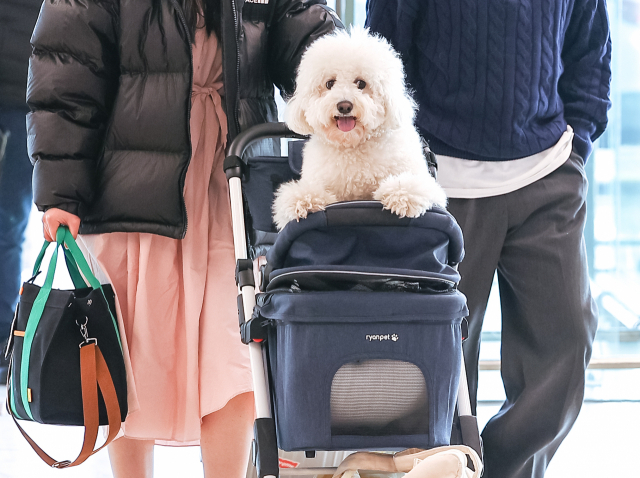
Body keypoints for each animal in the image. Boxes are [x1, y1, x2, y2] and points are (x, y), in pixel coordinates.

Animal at [272, 27, 448, 231]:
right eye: (329, 83)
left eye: (361, 83)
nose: (344, 106)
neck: (354, 146)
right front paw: (302, 202)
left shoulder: (428, 186)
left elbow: (413, 185)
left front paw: (401, 196)